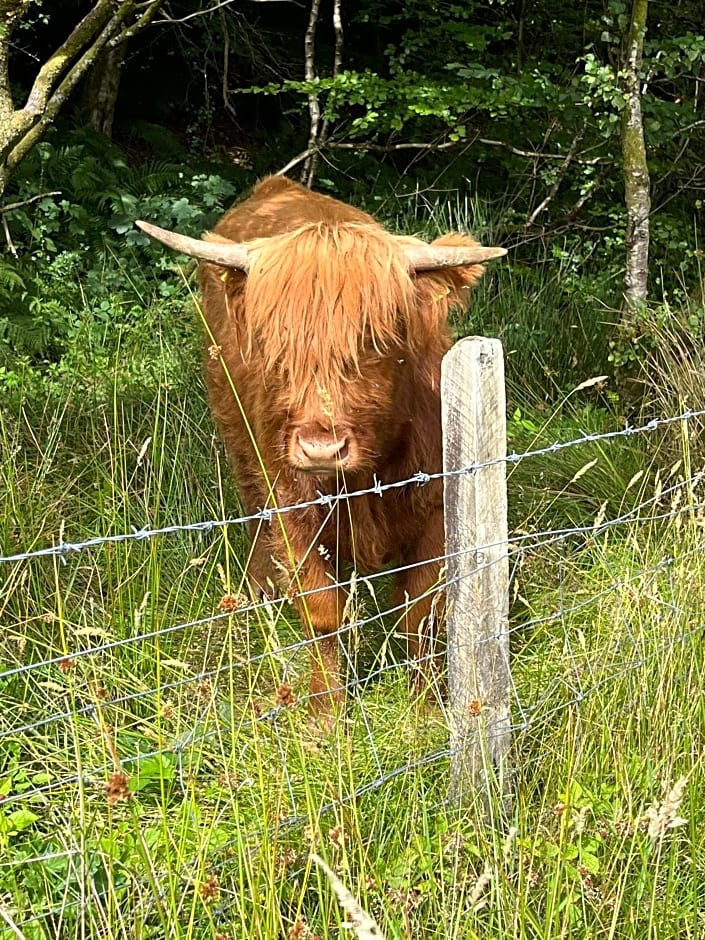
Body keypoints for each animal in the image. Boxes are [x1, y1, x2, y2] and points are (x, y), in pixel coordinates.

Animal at [135, 176, 504, 712]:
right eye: (275, 346)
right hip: (244, 453)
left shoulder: (436, 506)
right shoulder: (295, 511)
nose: (321, 450)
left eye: (376, 341)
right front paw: (325, 714)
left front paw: (425, 705)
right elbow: (323, 613)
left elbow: (420, 613)